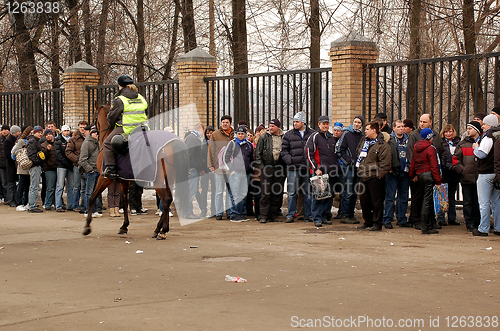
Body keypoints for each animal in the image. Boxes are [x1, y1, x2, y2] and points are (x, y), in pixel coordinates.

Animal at [83, 105, 188, 240]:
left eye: (94, 115)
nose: (89, 128)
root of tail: (173, 142)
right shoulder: (124, 180)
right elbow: (125, 202)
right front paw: (124, 226)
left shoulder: (105, 178)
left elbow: (92, 197)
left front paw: (87, 227)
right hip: (169, 178)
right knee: (168, 200)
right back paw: (159, 230)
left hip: (158, 180)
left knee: (166, 200)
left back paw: (162, 230)